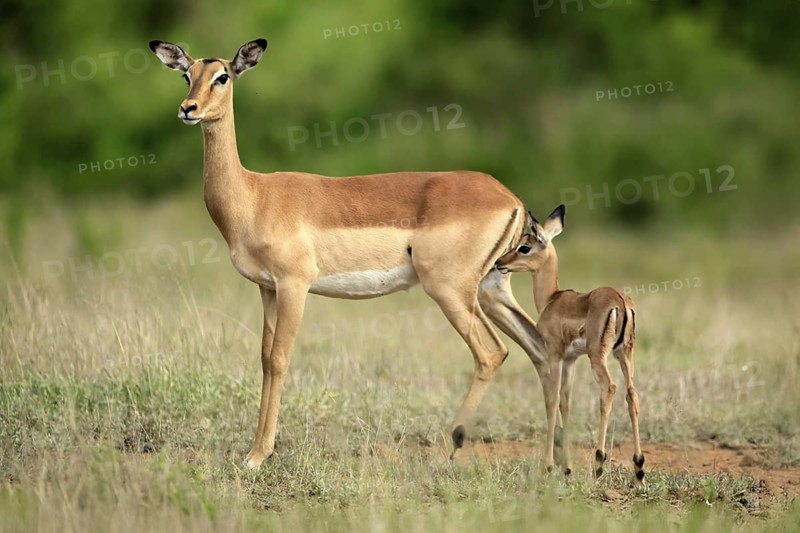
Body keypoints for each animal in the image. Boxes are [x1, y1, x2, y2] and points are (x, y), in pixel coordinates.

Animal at [148, 38, 555, 468]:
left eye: (223, 76)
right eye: (187, 75)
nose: (188, 108)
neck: (253, 196)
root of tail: (509, 197)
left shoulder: (294, 285)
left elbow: (279, 359)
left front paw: (257, 455)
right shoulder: (268, 288)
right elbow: (263, 359)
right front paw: (254, 449)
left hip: (450, 290)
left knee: (492, 353)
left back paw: (448, 447)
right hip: (492, 287)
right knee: (540, 348)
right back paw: (550, 460)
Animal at [496, 205, 644, 482]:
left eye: (524, 247)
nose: (499, 262)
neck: (551, 299)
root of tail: (620, 301)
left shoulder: (554, 355)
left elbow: (552, 399)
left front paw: (549, 465)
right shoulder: (570, 359)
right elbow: (566, 401)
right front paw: (566, 468)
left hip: (598, 356)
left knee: (609, 388)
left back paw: (599, 464)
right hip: (625, 354)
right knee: (631, 393)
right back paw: (639, 467)